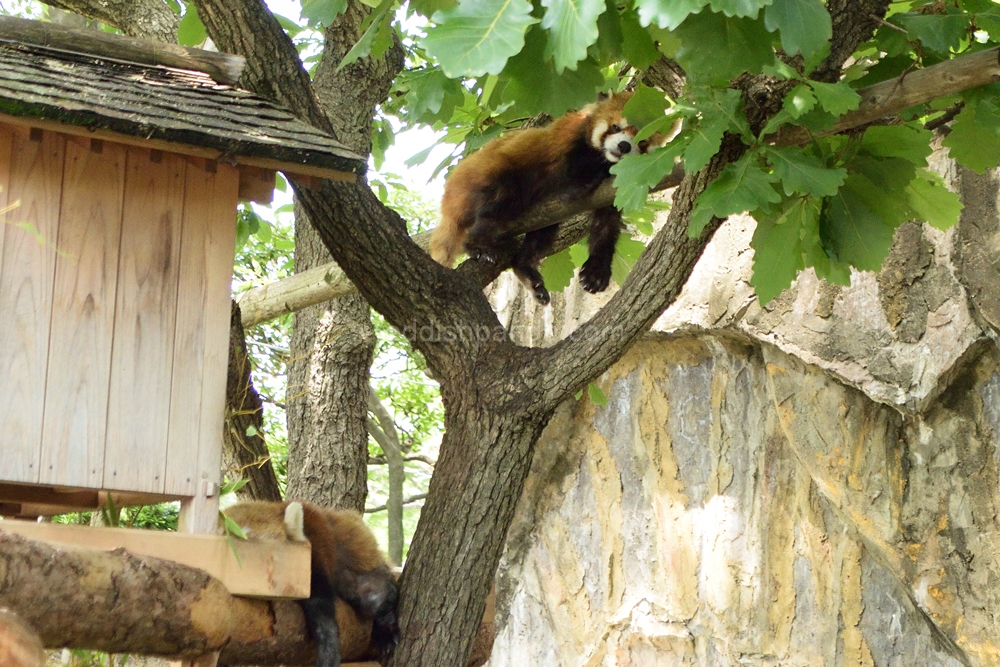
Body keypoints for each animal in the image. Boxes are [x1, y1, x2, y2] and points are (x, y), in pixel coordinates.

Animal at [428, 92, 656, 306]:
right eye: (616, 127)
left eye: (642, 140)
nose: (624, 146)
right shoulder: (569, 144)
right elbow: (572, 180)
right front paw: (587, 181)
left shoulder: (615, 190)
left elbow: (606, 224)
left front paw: (596, 271)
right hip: (487, 181)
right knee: (498, 204)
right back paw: (477, 245)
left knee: (542, 233)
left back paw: (526, 269)